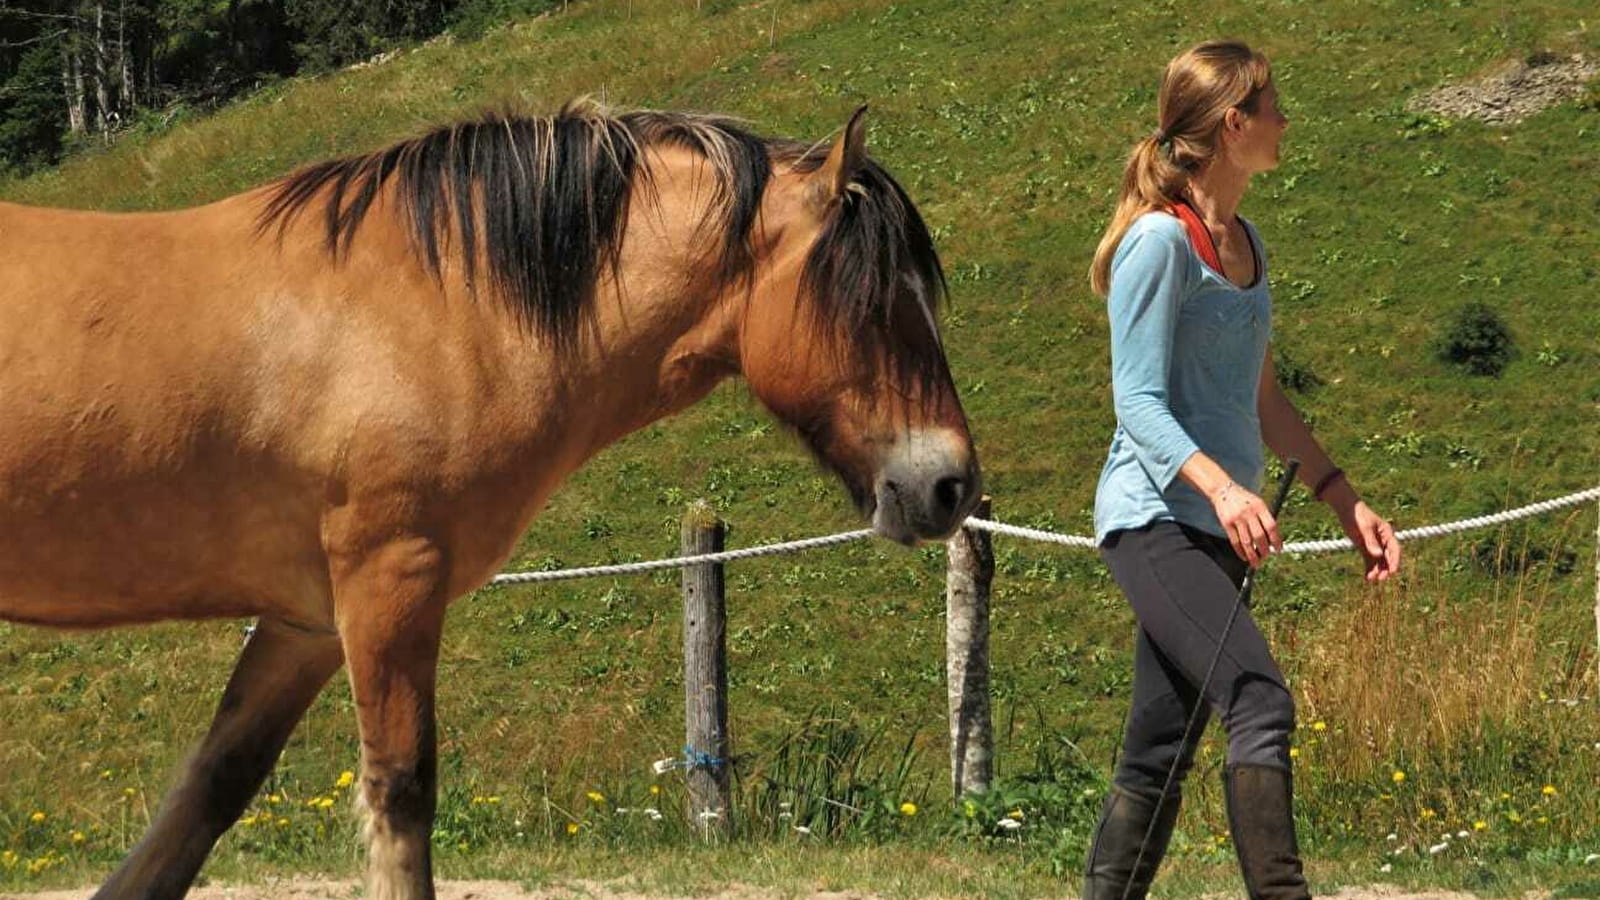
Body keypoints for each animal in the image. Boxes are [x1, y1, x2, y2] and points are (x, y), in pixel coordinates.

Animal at [0, 98, 972, 896]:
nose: (951, 483)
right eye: (878, 299)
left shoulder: (306, 622)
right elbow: (400, 793)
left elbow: (211, 790)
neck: (430, 306)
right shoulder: (391, 583)